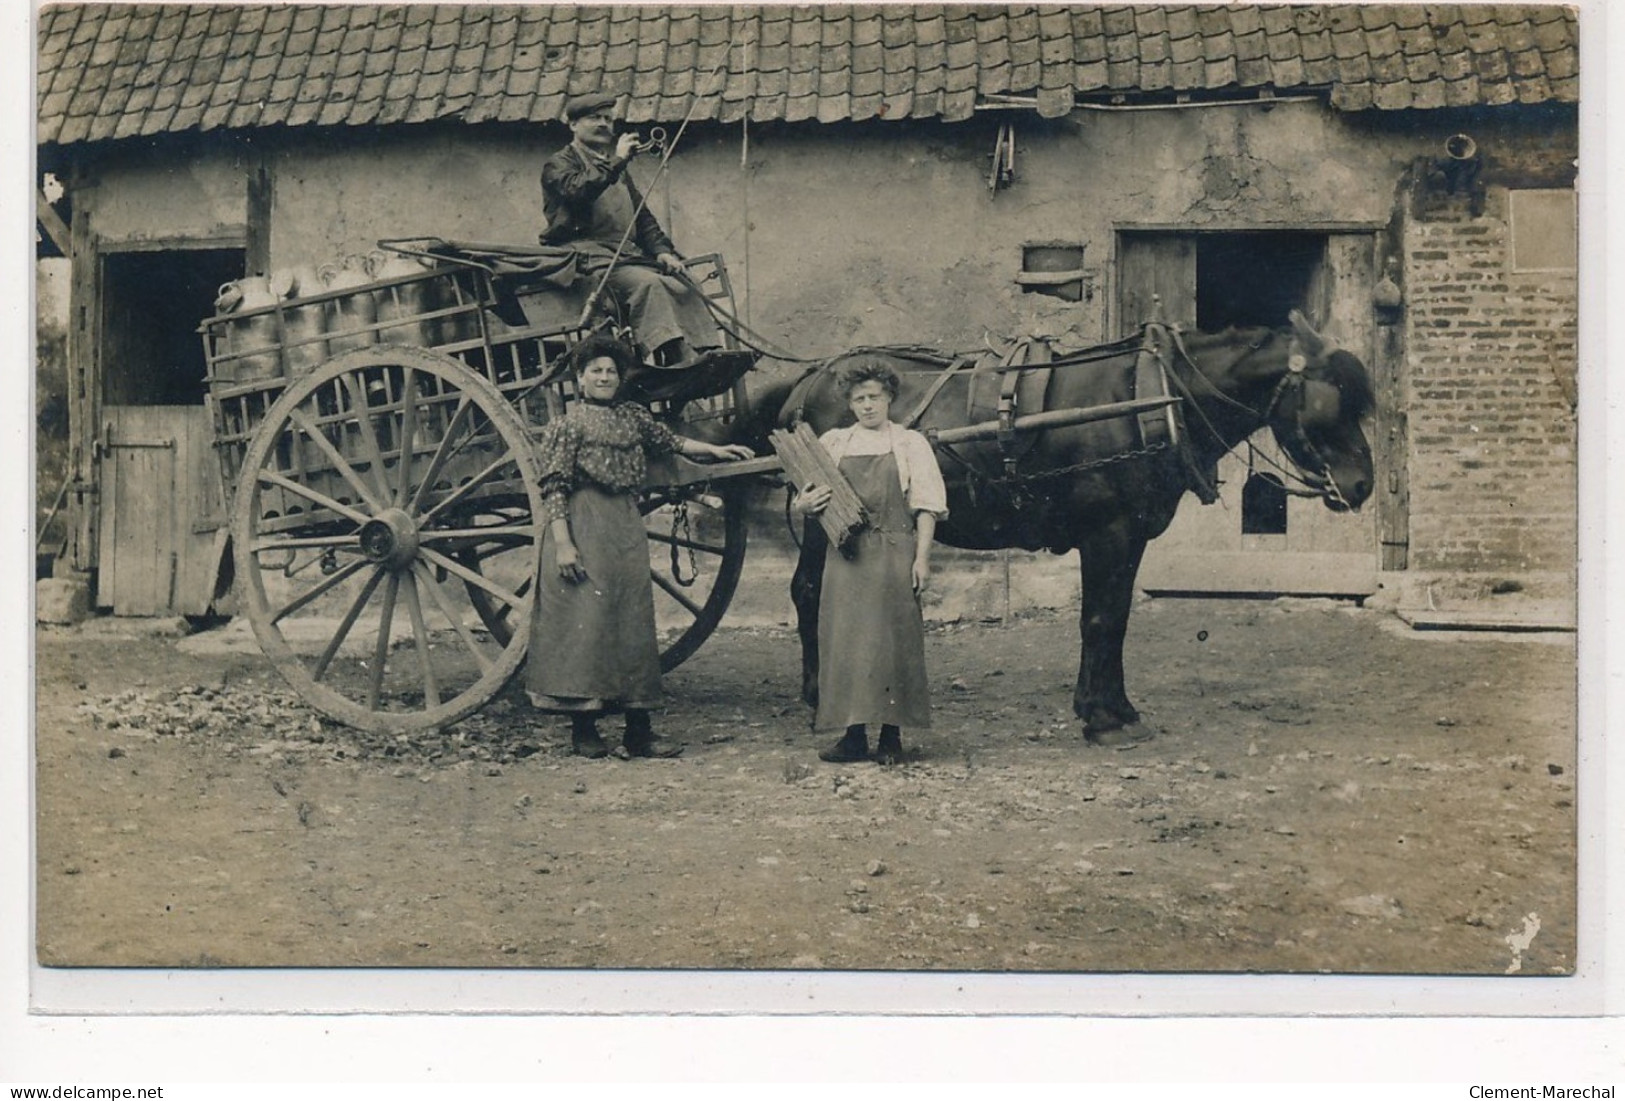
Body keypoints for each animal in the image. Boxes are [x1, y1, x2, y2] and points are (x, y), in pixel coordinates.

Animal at [744, 306, 1371, 746]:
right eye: (1327, 403)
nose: (1362, 485)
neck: (1151, 399)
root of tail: (811, 377)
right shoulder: (1108, 533)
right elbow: (1099, 620)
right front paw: (1102, 718)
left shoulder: (1131, 535)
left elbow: (1115, 621)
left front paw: (1115, 709)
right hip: (826, 516)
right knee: (809, 591)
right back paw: (820, 693)